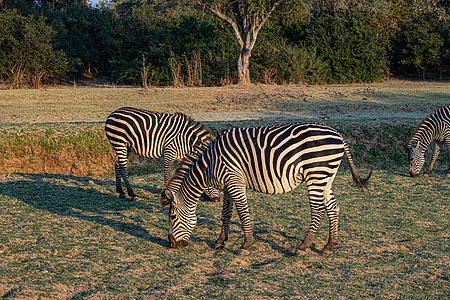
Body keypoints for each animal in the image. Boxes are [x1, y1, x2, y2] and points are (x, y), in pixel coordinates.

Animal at [160, 122, 370, 255]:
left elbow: (243, 213)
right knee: (333, 207)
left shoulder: (235, 181)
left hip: (316, 174)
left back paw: (303, 246)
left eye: (172, 217)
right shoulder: (227, 186)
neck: (210, 164)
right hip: (326, 176)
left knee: (317, 211)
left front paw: (246, 244)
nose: (172, 244)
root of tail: (338, 135)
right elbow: (226, 213)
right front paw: (220, 241)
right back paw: (330, 245)